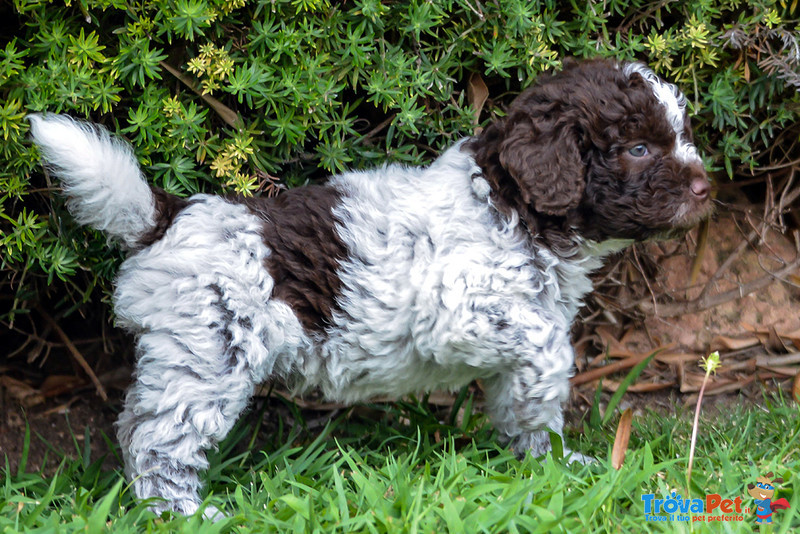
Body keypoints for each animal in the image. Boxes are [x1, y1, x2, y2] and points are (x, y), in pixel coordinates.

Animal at [28, 58, 712, 520]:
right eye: (638, 148)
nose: (707, 188)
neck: (513, 211)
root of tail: (166, 217)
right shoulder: (461, 314)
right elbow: (545, 348)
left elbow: (525, 408)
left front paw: (551, 468)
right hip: (209, 353)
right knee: (158, 442)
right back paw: (185, 515)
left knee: (136, 426)